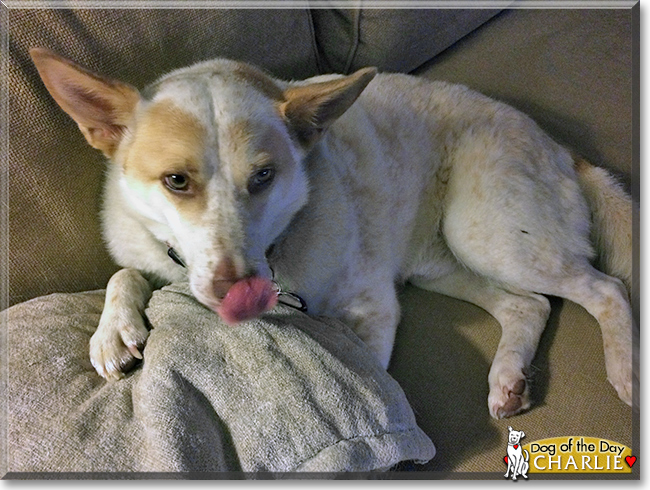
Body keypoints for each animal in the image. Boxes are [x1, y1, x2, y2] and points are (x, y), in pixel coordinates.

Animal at [30, 48, 632, 418]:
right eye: (176, 181)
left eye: (264, 176)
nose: (236, 290)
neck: (282, 247)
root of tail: (562, 147)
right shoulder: (154, 254)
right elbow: (126, 272)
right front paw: (113, 330)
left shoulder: (374, 308)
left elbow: (364, 374)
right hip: (439, 263)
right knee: (529, 305)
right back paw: (509, 378)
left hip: (486, 234)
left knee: (606, 289)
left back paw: (626, 371)